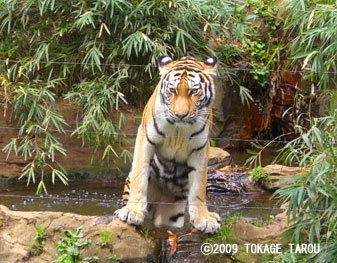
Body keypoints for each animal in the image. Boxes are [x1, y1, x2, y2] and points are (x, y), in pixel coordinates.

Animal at [114, 56, 220, 235]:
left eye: (194, 91)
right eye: (172, 90)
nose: (180, 115)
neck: (179, 128)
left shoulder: (200, 148)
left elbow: (199, 186)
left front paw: (204, 219)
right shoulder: (145, 138)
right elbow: (139, 176)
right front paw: (132, 212)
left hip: (172, 214)